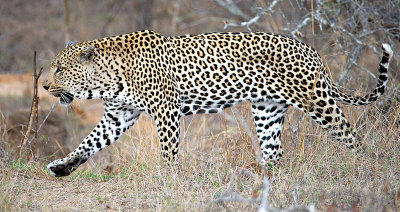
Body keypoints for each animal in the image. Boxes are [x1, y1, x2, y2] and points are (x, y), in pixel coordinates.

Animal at [42, 29, 392, 176]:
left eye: (59, 68)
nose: (44, 85)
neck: (107, 78)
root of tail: (309, 48)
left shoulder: (165, 110)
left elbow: (168, 150)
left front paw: (169, 178)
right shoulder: (118, 116)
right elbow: (88, 143)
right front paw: (62, 167)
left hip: (316, 100)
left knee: (350, 135)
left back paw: (367, 167)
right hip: (267, 109)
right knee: (274, 151)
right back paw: (261, 178)